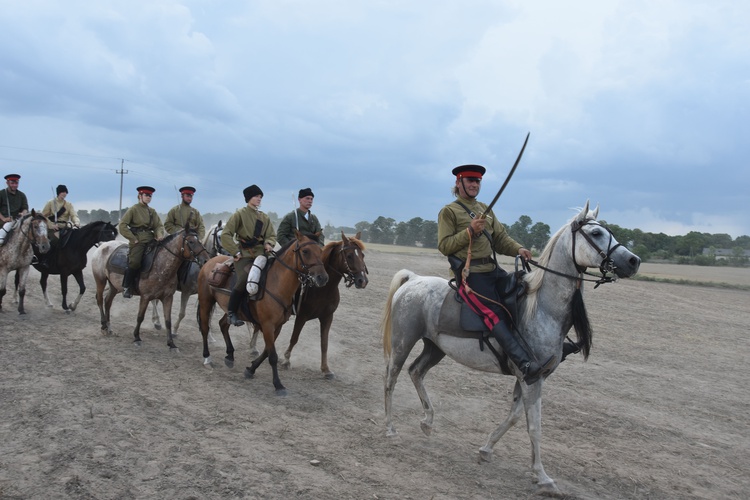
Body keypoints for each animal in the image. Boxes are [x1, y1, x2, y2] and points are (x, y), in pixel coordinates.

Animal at [197, 230, 328, 394]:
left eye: (321, 251)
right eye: (305, 251)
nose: (322, 278)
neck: (276, 283)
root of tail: (209, 261)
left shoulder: (277, 326)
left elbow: (267, 351)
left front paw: (250, 369)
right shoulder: (267, 325)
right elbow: (272, 356)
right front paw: (278, 384)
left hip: (231, 310)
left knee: (223, 325)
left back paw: (230, 356)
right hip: (205, 302)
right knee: (204, 328)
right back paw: (207, 358)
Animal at [250, 232, 370, 376]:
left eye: (362, 255)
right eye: (350, 256)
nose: (362, 280)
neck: (324, 289)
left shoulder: (327, 317)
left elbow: (324, 343)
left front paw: (325, 369)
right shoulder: (302, 316)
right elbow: (294, 338)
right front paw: (286, 360)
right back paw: (253, 348)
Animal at [384, 203, 644, 496]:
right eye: (597, 233)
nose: (633, 261)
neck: (542, 308)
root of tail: (413, 279)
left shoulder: (529, 378)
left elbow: (515, 417)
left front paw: (486, 449)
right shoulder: (531, 378)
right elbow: (534, 426)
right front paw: (542, 477)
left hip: (434, 348)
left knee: (416, 372)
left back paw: (427, 422)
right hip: (403, 341)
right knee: (390, 378)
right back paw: (390, 429)